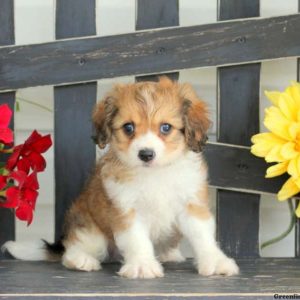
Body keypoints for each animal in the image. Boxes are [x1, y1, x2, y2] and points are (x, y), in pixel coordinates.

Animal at [3, 77, 239, 278]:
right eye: (128, 127)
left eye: (166, 127)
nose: (146, 154)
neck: (154, 174)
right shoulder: (125, 209)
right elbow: (137, 240)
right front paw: (143, 265)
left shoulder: (191, 204)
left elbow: (202, 236)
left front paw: (215, 261)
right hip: (91, 232)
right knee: (72, 249)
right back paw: (81, 260)